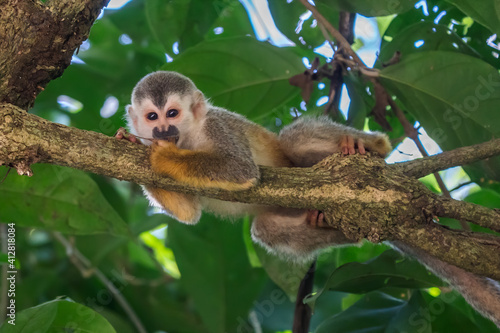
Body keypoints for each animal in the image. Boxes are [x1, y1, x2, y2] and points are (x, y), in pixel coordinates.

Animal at [119, 70, 500, 326]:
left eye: (173, 113)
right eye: (152, 116)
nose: (162, 130)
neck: (187, 138)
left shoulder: (217, 127)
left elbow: (238, 170)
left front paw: (161, 155)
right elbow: (189, 214)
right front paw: (133, 142)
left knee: (294, 140)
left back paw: (368, 145)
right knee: (266, 229)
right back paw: (332, 225)